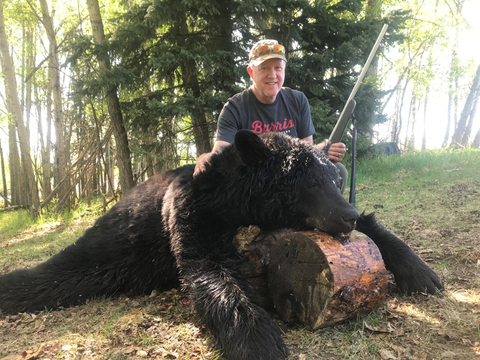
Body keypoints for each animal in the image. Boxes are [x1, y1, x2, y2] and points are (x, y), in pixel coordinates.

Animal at [0, 131, 442, 360]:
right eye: (311, 182)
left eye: (335, 179)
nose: (347, 215)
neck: (235, 200)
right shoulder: (194, 214)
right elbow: (212, 275)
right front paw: (261, 344)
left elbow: (378, 228)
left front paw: (421, 272)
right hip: (115, 241)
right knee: (61, 273)